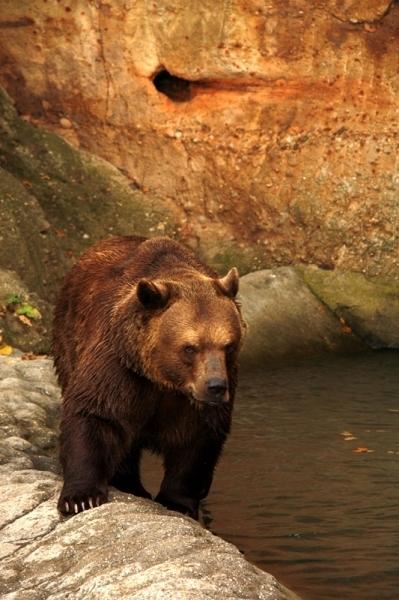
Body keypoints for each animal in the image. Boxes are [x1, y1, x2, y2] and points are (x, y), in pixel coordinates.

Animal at [53, 237, 245, 516]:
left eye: (228, 345)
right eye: (190, 347)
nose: (216, 386)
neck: (163, 379)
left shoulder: (195, 401)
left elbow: (197, 440)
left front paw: (177, 502)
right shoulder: (119, 368)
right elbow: (94, 413)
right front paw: (81, 497)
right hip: (68, 340)